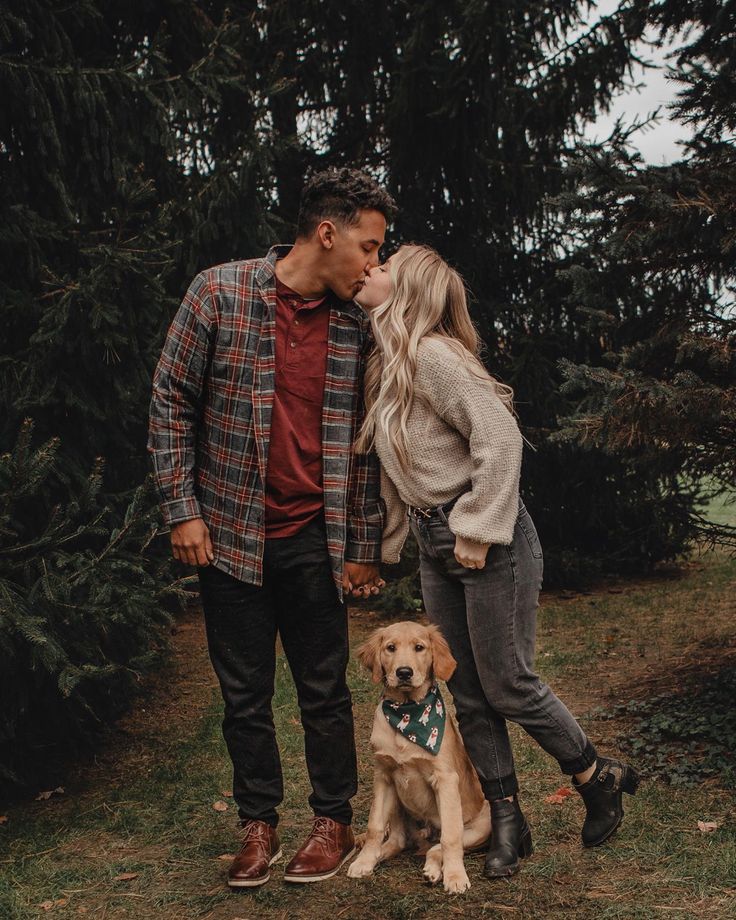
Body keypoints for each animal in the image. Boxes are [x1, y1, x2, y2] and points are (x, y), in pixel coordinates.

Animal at [350, 620, 492, 892]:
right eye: (390, 648)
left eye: (419, 647)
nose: (404, 672)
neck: (408, 713)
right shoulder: (384, 776)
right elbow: (374, 827)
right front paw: (364, 861)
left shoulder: (445, 779)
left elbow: (450, 838)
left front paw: (455, 876)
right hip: (397, 803)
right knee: (397, 841)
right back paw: (379, 856)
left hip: (482, 825)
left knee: (436, 846)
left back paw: (434, 870)